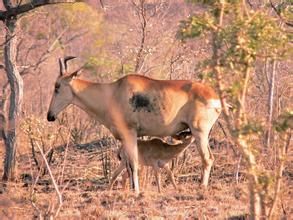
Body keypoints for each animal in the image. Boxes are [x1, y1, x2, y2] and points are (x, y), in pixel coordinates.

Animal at [47, 55, 221, 193]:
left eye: (57, 86)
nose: (50, 116)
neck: (113, 92)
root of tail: (214, 96)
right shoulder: (124, 138)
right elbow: (128, 165)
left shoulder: (130, 132)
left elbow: (134, 162)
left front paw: (136, 191)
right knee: (210, 158)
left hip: (199, 132)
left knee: (207, 158)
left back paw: (202, 187)